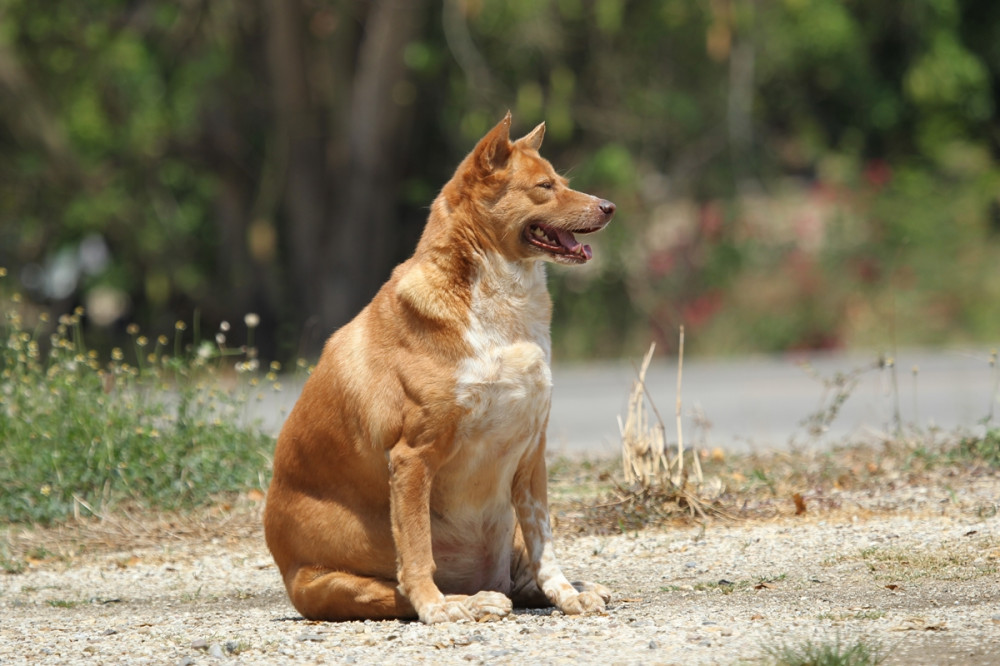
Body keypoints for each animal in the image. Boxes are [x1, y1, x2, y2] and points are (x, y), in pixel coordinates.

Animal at [262, 111, 612, 620]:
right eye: (545, 187)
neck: (503, 310)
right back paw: (468, 601)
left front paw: (566, 594)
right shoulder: (412, 457)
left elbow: (546, 545)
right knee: (399, 590)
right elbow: (415, 551)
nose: (609, 207)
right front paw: (436, 610)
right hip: (335, 585)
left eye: (564, 183)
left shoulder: (532, 454)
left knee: (519, 572)